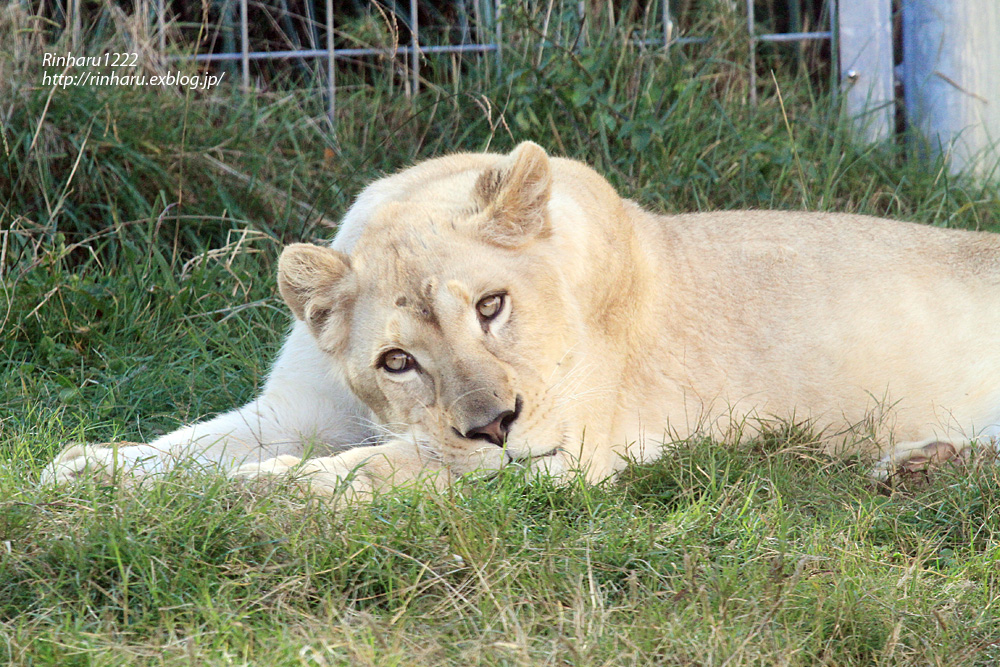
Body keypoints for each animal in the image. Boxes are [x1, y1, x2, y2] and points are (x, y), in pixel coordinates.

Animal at [45, 142, 1000, 496]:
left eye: (492, 306)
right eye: (396, 360)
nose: (496, 423)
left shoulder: (552, 457)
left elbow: (360, 471)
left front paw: (237, 494)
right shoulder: (294, 407)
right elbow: (190, 442)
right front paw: (85, 466)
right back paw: (924, 463)